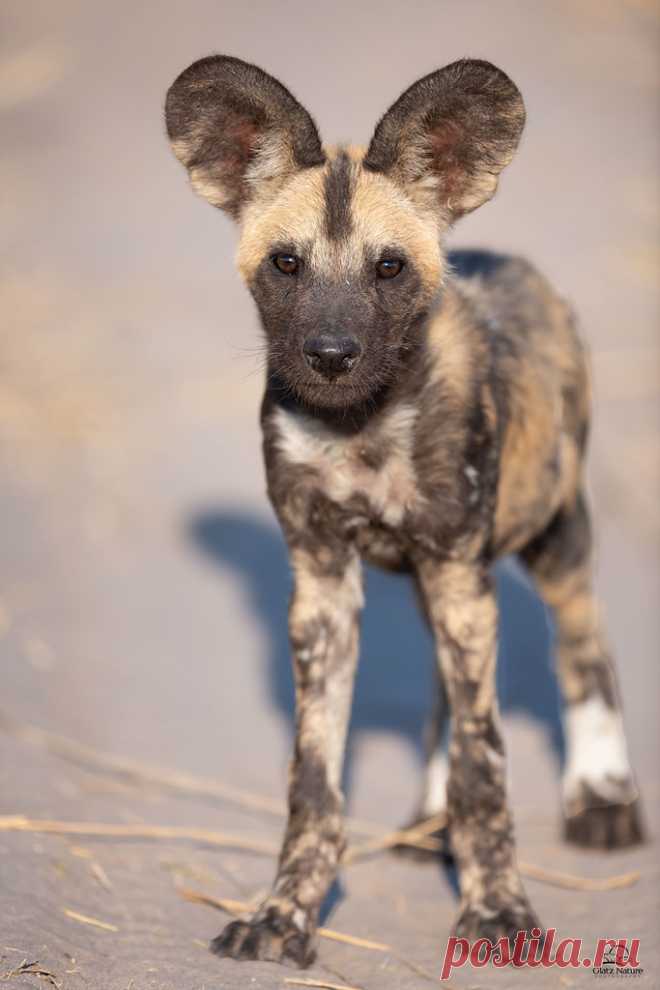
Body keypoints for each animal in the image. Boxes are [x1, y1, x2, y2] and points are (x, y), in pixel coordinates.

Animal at [166, 56, 644, 968]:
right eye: (286, 264)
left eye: (388, 269)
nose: (330, 355)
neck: (362, 426)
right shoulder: (324, 586)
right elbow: (315, 783)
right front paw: (285, 914)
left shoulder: (459, 569)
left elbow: (487, 770)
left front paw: (498, 911)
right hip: (445, 584)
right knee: (447, 695)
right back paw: (431, 822)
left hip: (549, 542)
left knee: (584, 650)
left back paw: (602, 799)